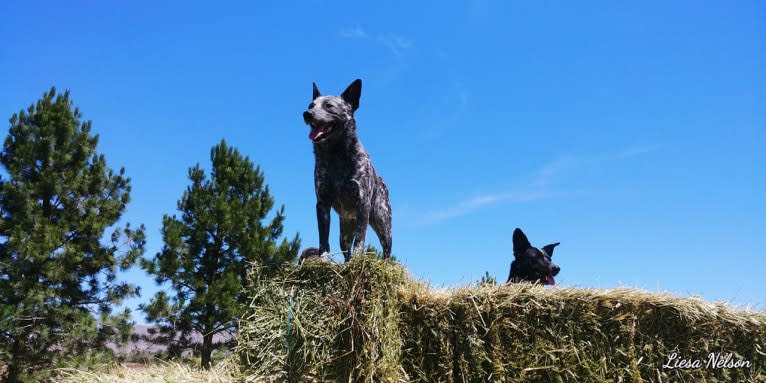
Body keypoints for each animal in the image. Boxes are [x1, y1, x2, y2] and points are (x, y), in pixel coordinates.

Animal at [304, 79, 392, 262]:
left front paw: (358, 259)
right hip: (344, 231)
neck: (336, 155)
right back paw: (347, 263)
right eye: (310, 105)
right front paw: (324, 259)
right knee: (345, 250)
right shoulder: (322, 204)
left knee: (387, 250)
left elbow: (360, 239)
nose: (306, 114)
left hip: (383, 225)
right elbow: (323, 238)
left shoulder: (362, 203)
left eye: (329, 106)